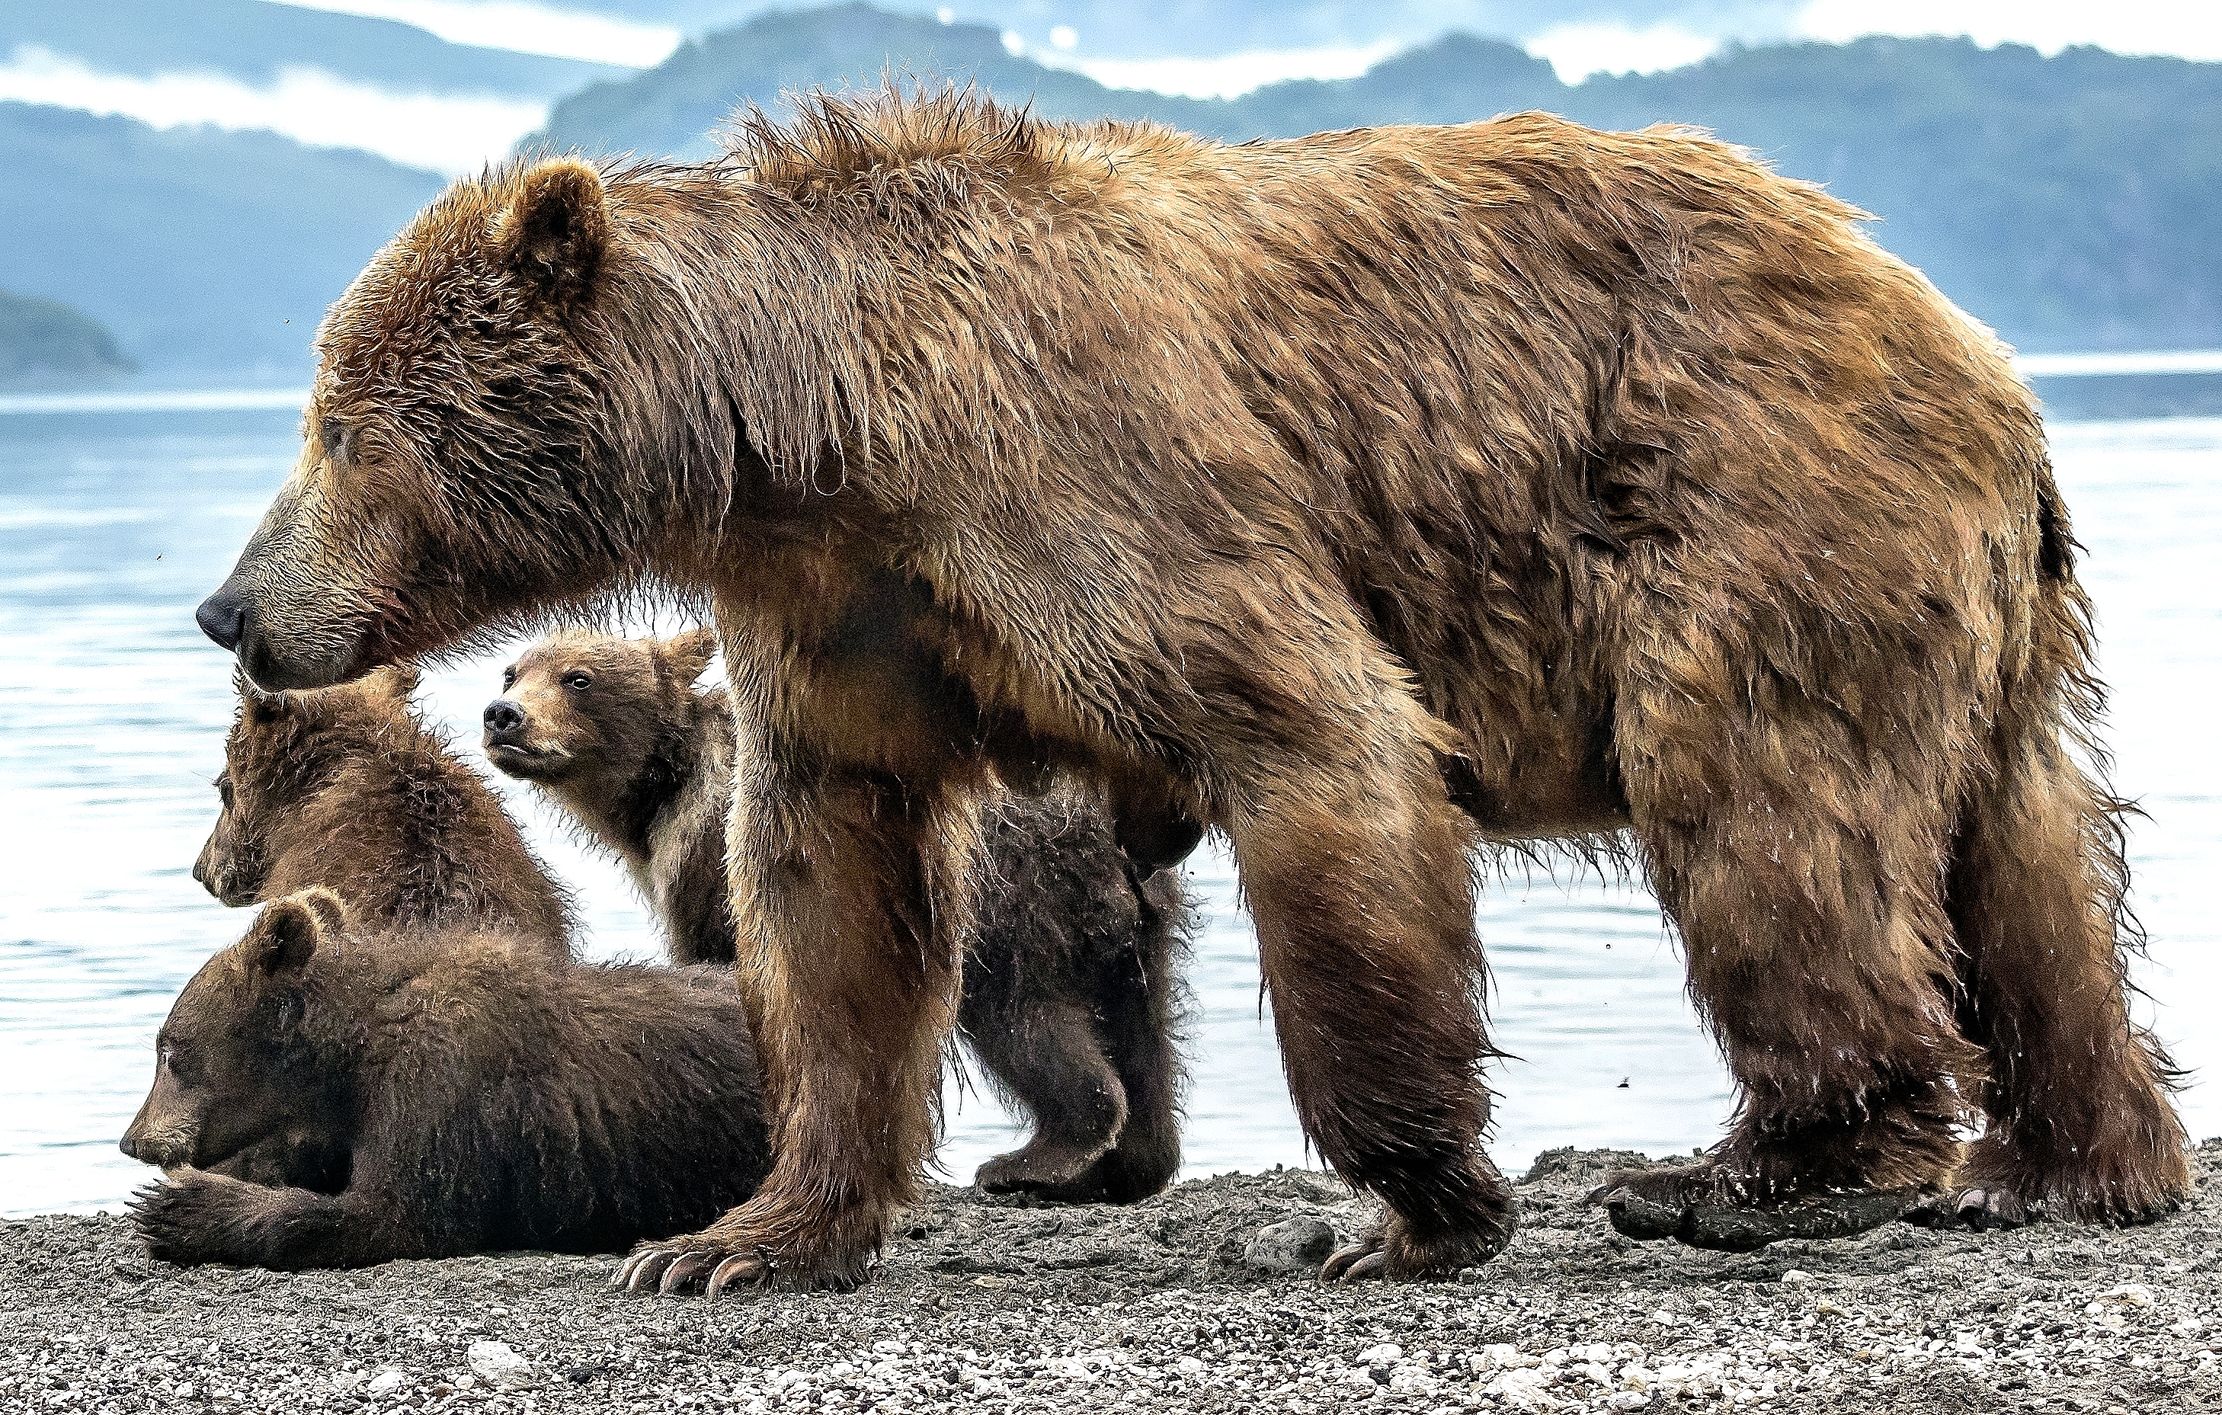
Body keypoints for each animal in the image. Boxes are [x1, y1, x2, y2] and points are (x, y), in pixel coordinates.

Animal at [120, 888, 771, 1268]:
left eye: (169, 1052)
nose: (133, 1140)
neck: (351, 1057)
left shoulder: (442, 1082)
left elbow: (393, 1214)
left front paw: (181, 1207)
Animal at [482, 626, 1188, 1202]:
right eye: (512, 671)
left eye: (578, 678)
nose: (502, 715)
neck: (660, 791)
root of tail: (1102, 823)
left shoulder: (715, 859)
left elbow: (723, 966)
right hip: (1132, 916)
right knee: (1143, 1024)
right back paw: (1130, 1166)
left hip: (1011, 898)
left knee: (1024, 1019)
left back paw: (1028, 1161)